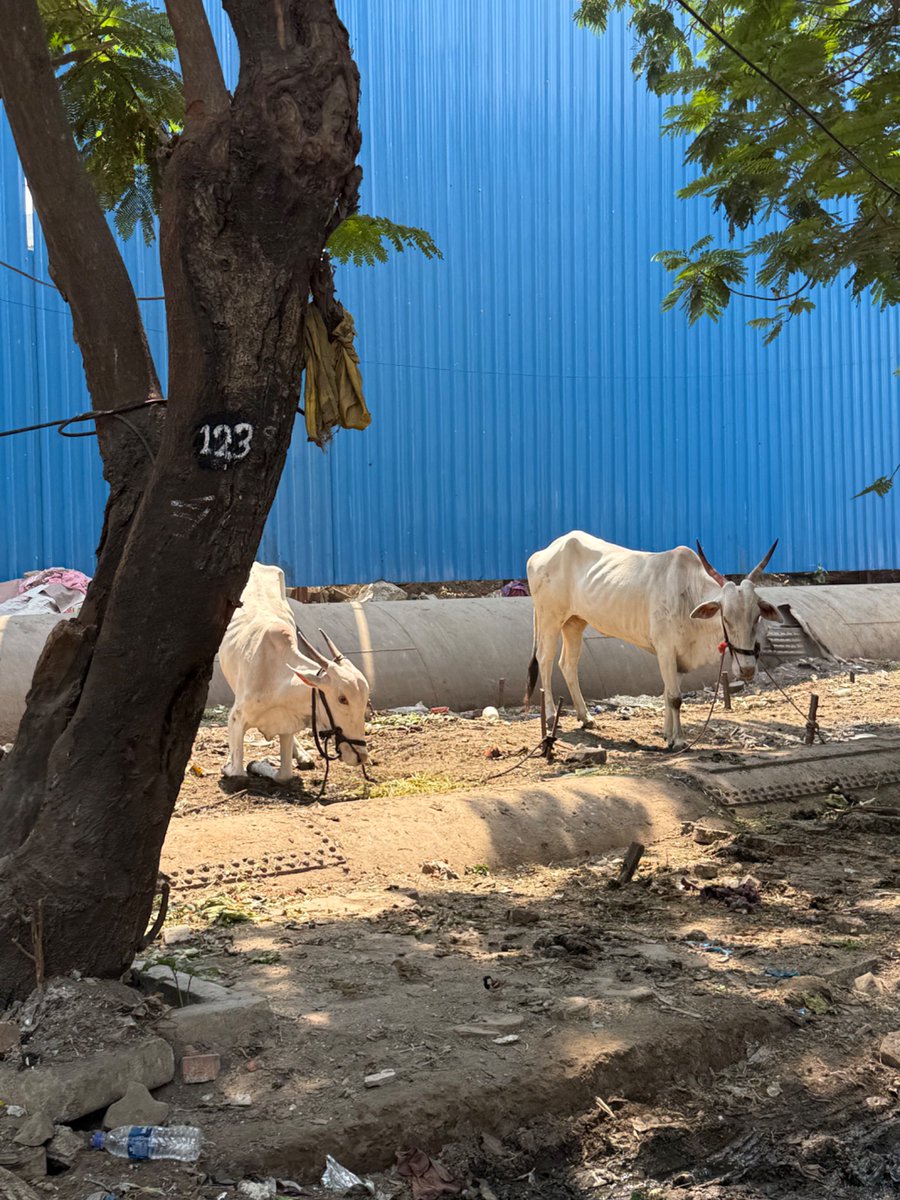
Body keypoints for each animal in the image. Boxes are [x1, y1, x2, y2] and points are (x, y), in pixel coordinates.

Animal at [218, 563, 370, 782]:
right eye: (342, 699)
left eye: (366, 699)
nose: (360, 756)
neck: (275, 680)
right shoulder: (236, 719)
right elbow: (237, 771)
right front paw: (236, 765)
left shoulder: (287, 726)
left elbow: (284, 775)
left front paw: (259, 763)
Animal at [525, 534, 782, 750]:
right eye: (725, 618)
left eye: (756, 616)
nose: (747, 670)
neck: (687, 594)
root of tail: (541, 553)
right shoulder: (665, 649)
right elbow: (675, 697)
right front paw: (679, 741)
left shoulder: (679, 658)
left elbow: (669, 694)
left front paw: (668, 735)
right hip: (550, 616)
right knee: (545, 660)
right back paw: (551, 715)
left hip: (575, 622)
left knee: (568, 664)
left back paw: (585, 717)